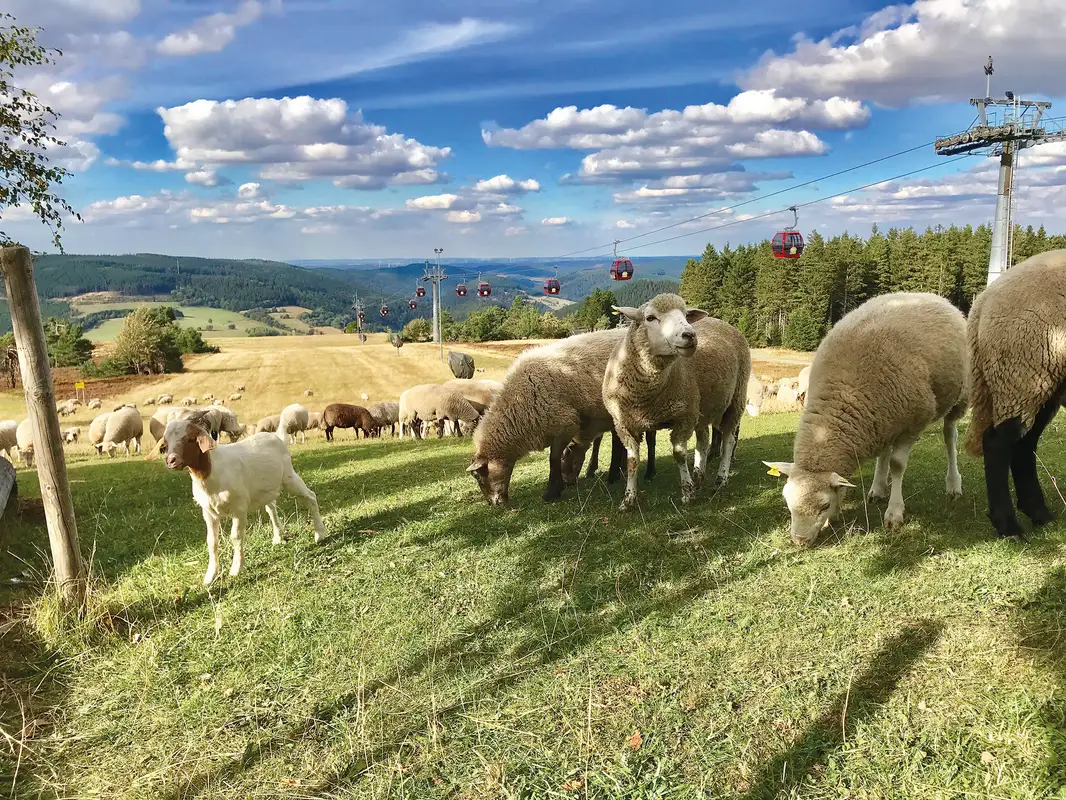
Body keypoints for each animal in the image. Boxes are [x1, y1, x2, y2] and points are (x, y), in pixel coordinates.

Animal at [152, 413, 321, 584]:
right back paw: (278, 537)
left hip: (289, 477)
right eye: (166, 442)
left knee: (310, 497)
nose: (171, 460)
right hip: (265, 490)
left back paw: (320, 534)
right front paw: (210, 576)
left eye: (190, 438)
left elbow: (236, 537)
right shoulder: (208, 512)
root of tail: (276, 437)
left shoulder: (239, 508)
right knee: (271, 507)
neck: (211, 472)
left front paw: (236, 568)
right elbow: (211, 541)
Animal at [605, 296, 754, 514]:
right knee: (703, 440)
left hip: (735, 399)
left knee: (728, 440)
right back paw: (699, 475)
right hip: (702, 407)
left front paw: (687, 493)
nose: (690, 335)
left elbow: (679, 455)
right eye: (650, 317)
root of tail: (720, 321)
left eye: (685, 315)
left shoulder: (684, 417)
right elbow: (632, 461)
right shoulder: (624, 424)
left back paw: (720, 480)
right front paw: (628, 500)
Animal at [763, 292, 972, 550]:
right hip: (887, 419)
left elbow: (897, 465)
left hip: (959, 396)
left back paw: (953, 484)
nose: (800, 541)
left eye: (824, 505)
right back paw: (877, 488)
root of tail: (932, 296)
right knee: (885, 450)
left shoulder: (913, 422)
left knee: (949, 436)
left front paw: (894, 513)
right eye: (787, 501)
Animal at [967, 249, 1066, 539]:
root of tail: (984, 301)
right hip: (1023, 372)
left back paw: (1038, 513)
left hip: (1044, 384)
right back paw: (1008, 526)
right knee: (997, 444)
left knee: (1024, 444)